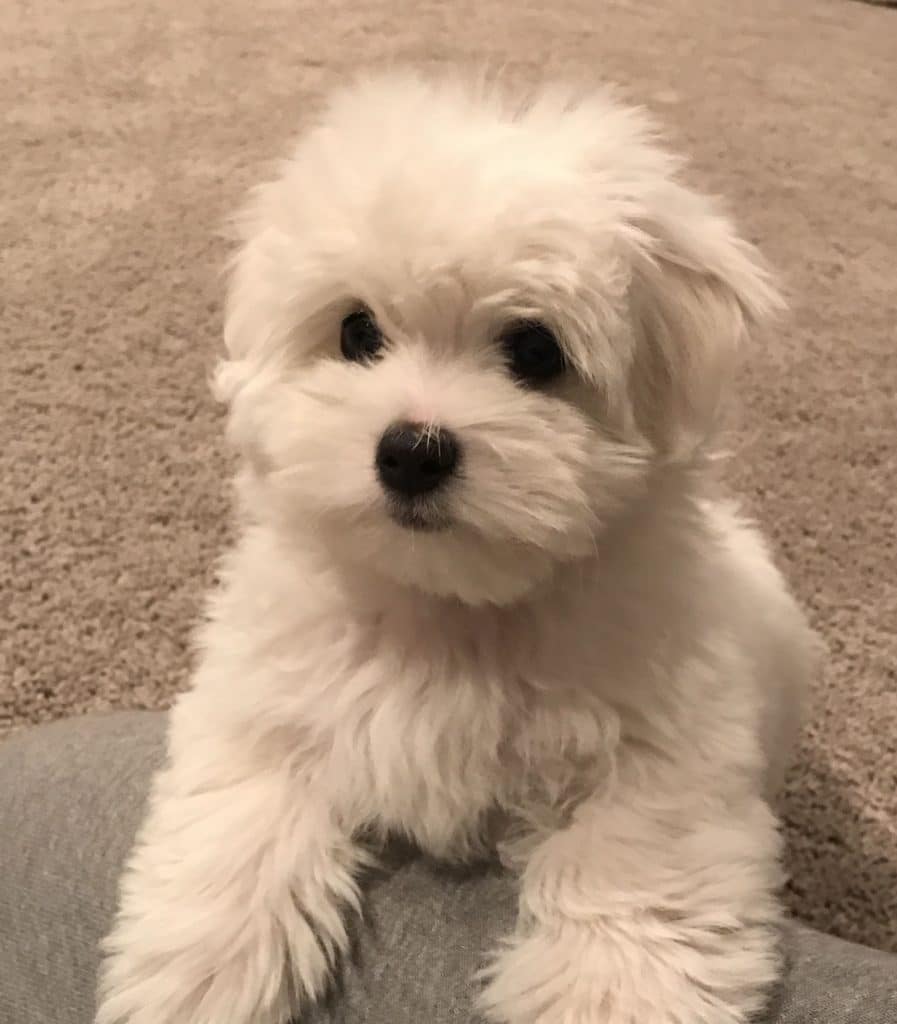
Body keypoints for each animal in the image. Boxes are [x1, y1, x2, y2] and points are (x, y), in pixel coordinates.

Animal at [94, 74, 815, 1024]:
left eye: (535, 350)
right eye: (357, 332)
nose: (411, 451)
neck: (452, 609)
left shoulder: (673, 752)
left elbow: (630, 860)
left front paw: (602, 991)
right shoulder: (262, 698)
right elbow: (243, 812)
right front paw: (201, 971)